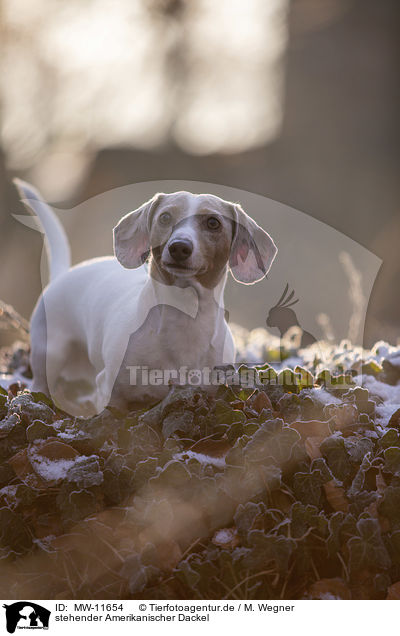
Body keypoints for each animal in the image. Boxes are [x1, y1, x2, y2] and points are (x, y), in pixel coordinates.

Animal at [15, 180, 278, 418]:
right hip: (49, 353)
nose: (179, 247)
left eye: (213, 222)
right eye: (165, 217)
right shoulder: (112, 393)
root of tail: (63, 274)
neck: (183, 317)